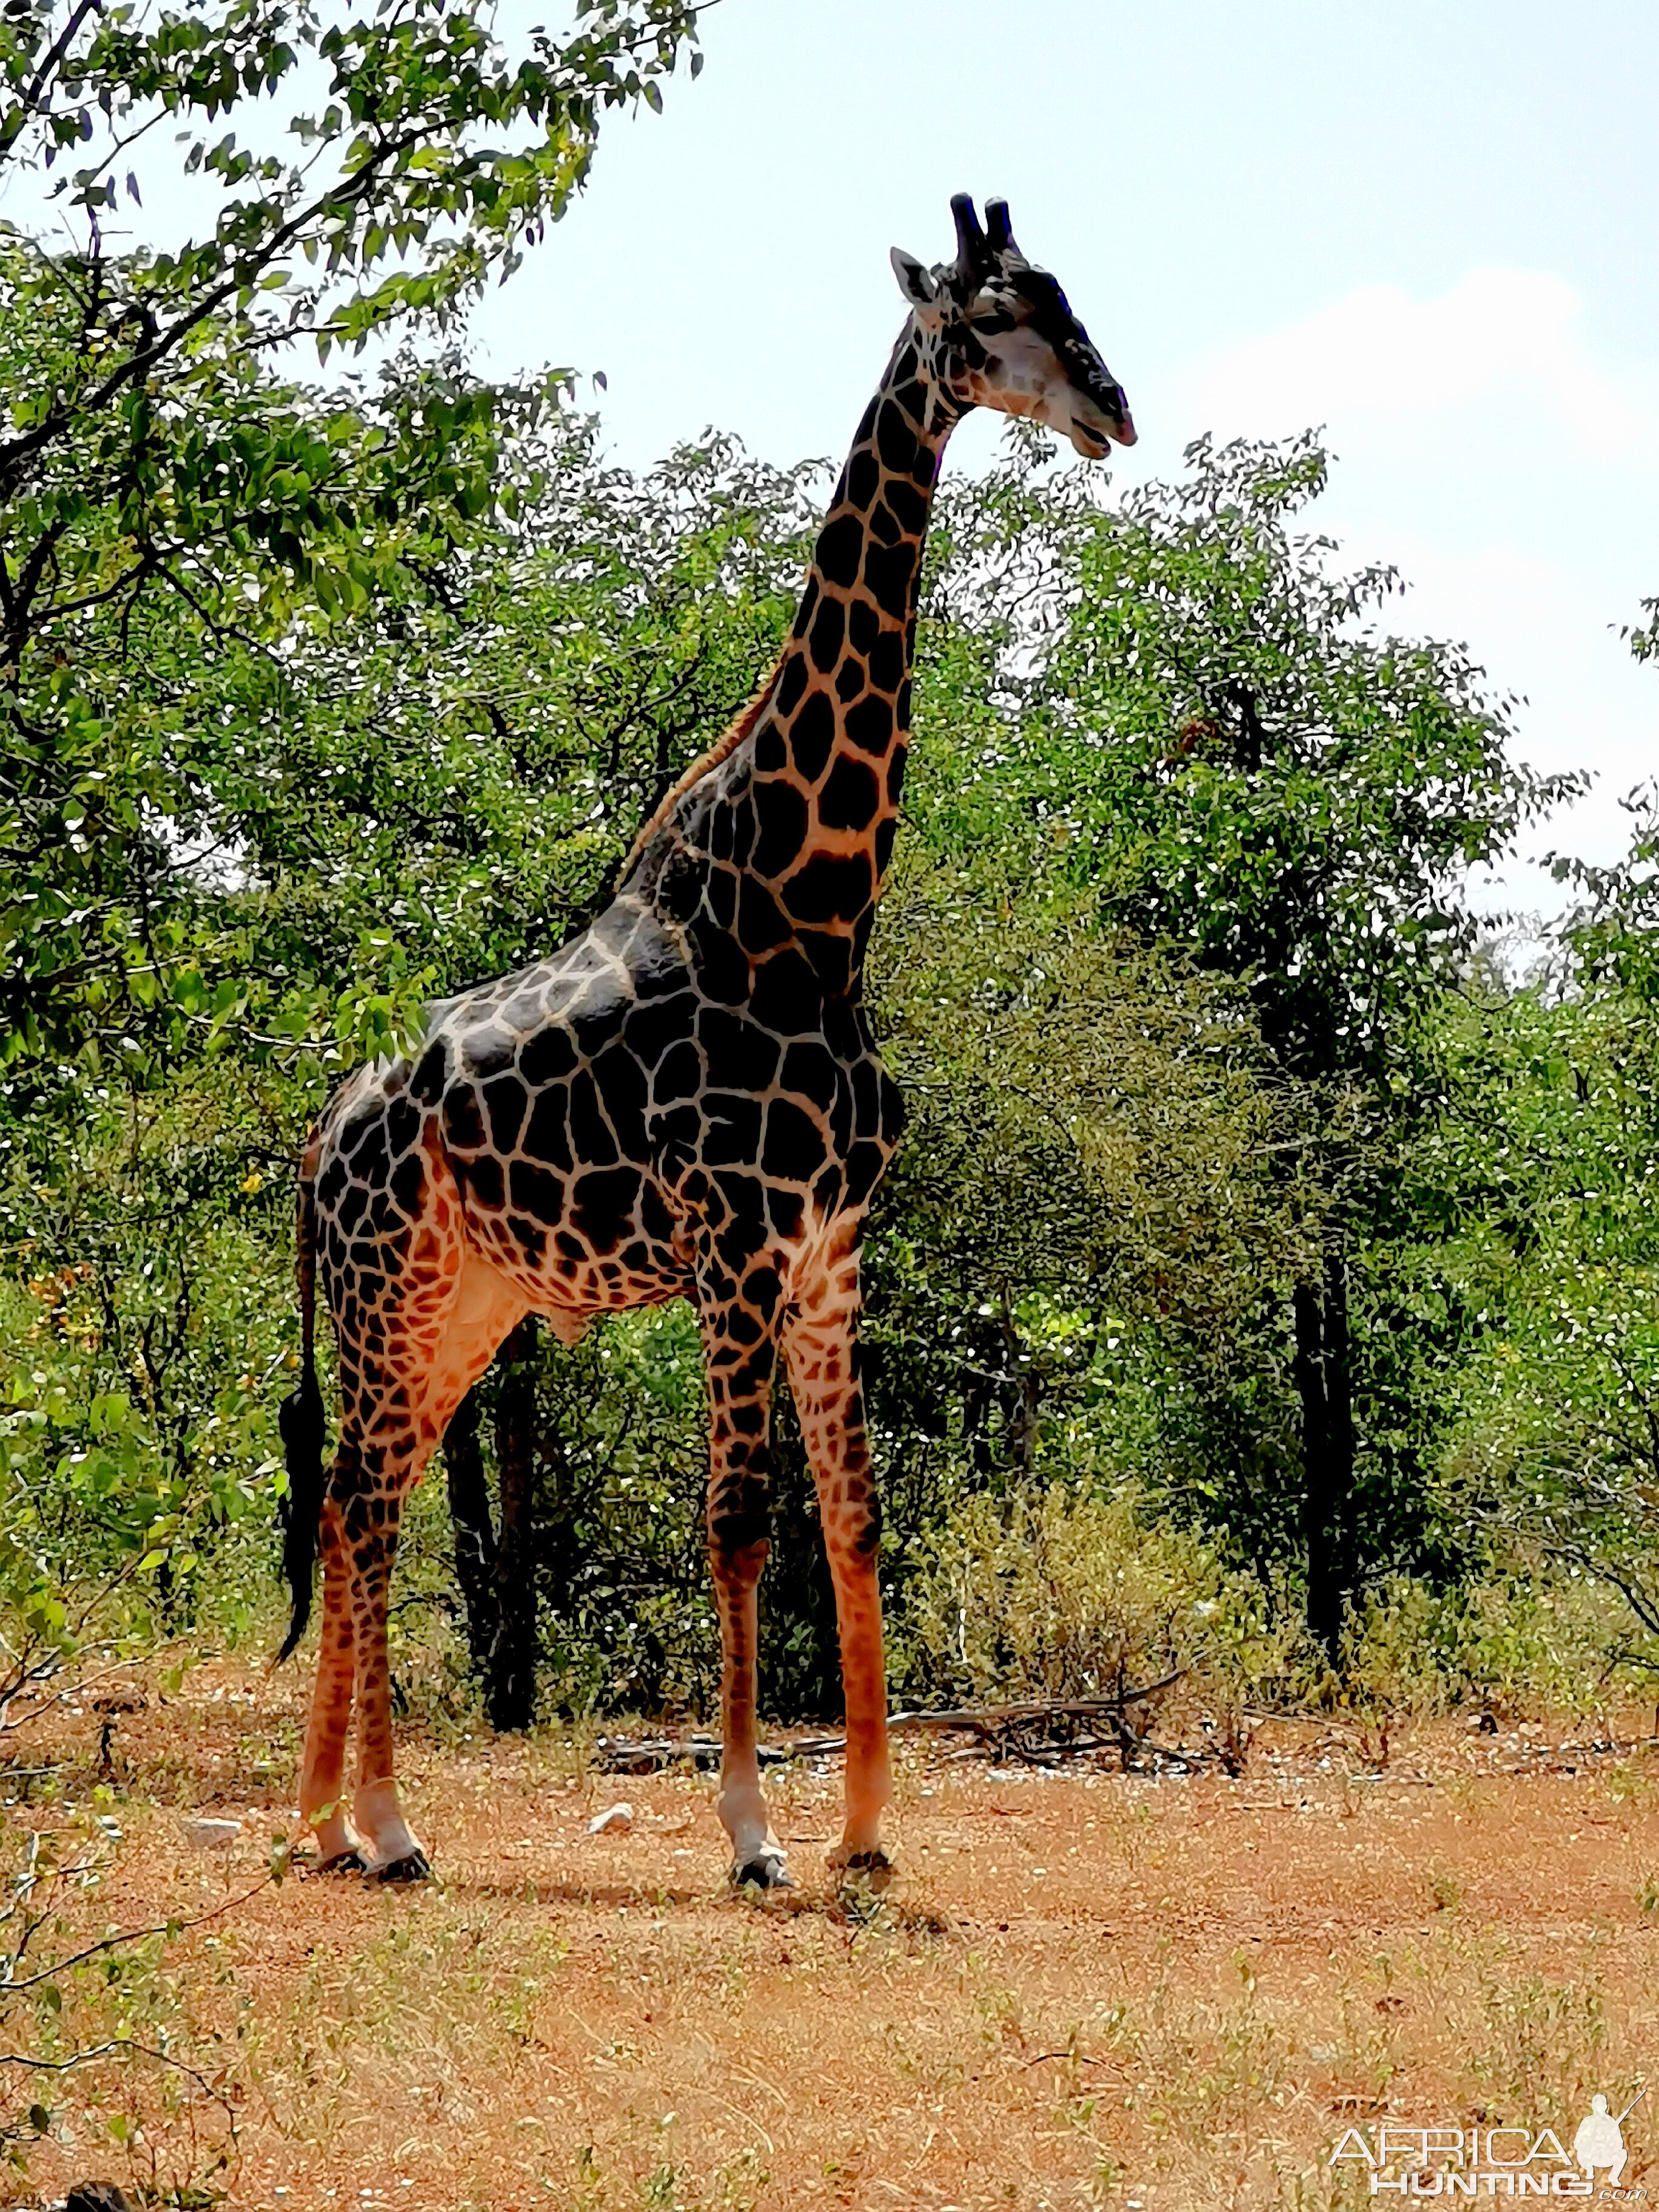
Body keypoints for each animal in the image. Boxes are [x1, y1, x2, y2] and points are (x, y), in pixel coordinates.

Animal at [283, 195, 1141, 1885]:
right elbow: (740, 1520)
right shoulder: (736, 1244)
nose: (1112, 408)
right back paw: (378, 1824)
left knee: (367, 1495)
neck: (809, 904)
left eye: (1068, 299)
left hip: (464, 1305)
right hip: (382, 1294)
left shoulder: (831, 1247)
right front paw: (748, 1831)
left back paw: (342, 1821)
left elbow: (853, 1520)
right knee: (363, 1499)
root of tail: (315, 1142)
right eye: (989, 316)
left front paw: (865, 1832)